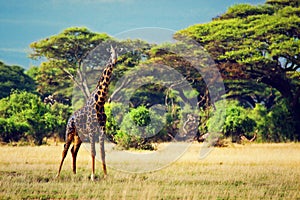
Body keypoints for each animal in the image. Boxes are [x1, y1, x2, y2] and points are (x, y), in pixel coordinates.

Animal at [56, 46, 118, 180]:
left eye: (118, 52)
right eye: (111, 52)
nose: (114, 59)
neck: (100, 102)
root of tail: (70, 118)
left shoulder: (102, 129)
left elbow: (102, 152)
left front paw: (106, 175)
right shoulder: (91, 129)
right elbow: (93, 152)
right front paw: (93, 176)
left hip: (79, 136)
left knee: (73, 151)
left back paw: (74, 173)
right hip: (69, 132)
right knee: (64, 150)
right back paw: (57, 174)